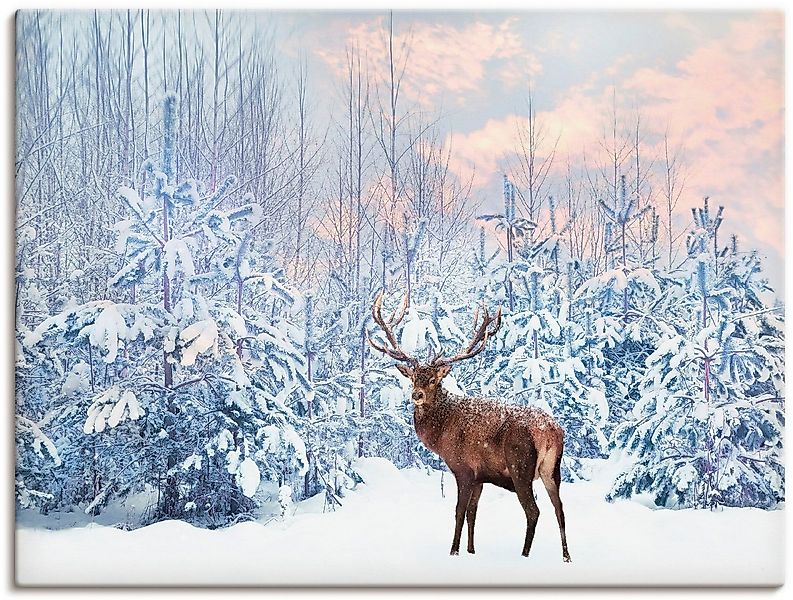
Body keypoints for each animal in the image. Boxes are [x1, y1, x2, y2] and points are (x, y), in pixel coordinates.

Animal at [367, 291, 571, 562]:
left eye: (433, 380)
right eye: (413, 378)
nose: (416, 395)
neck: (440, 436)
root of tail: (550, 431)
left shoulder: (463, 469)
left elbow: (459, 512)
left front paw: (453, 551)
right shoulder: (480, 477)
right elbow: (473, 513)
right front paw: (472, 551)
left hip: (520, 466)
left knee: (533, 510)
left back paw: (524, 555)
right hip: (552, 470)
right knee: (560, 509)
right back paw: (566, 556)